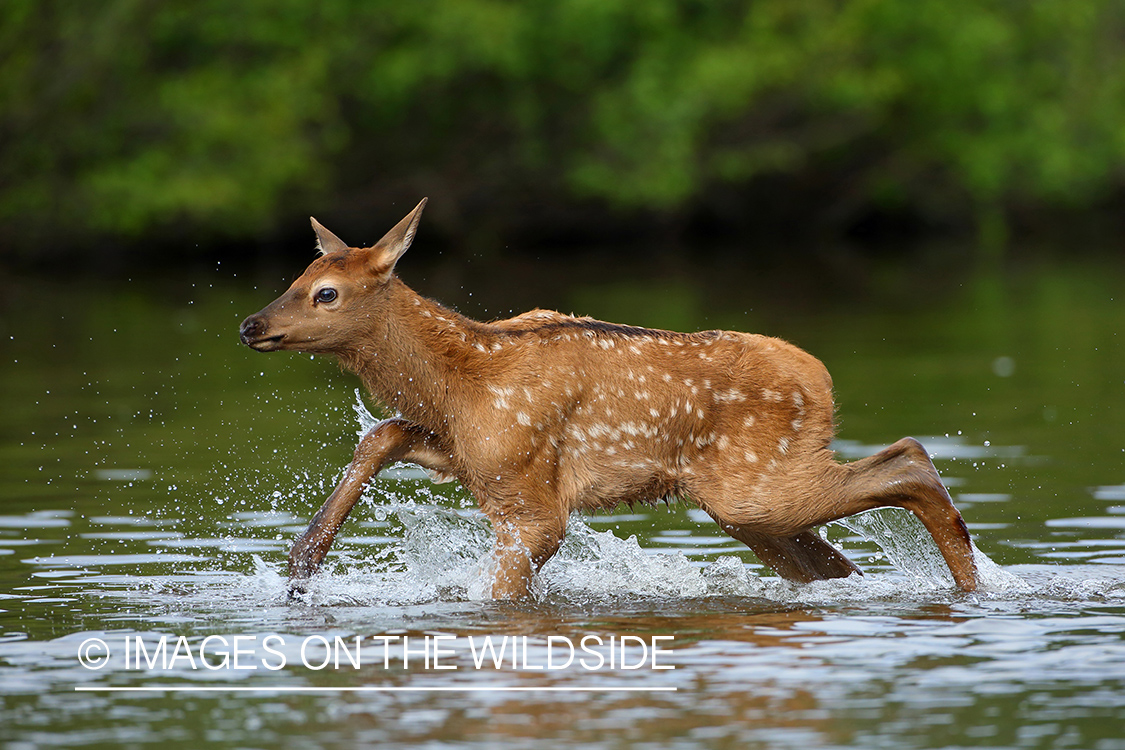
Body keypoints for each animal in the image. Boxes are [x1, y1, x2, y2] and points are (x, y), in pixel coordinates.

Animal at [241, 201, 981, 598]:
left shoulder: (530, 497)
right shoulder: (472, 454)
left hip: (758, 485)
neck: (460, 380)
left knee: (910, 457)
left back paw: (974, 588)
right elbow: (381, 434)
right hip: (747, 506)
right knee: (837, 563)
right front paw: (302, 562)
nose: (251, 325)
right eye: (298, 274)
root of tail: (821, 381)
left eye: (326, 292)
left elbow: (503, 590)